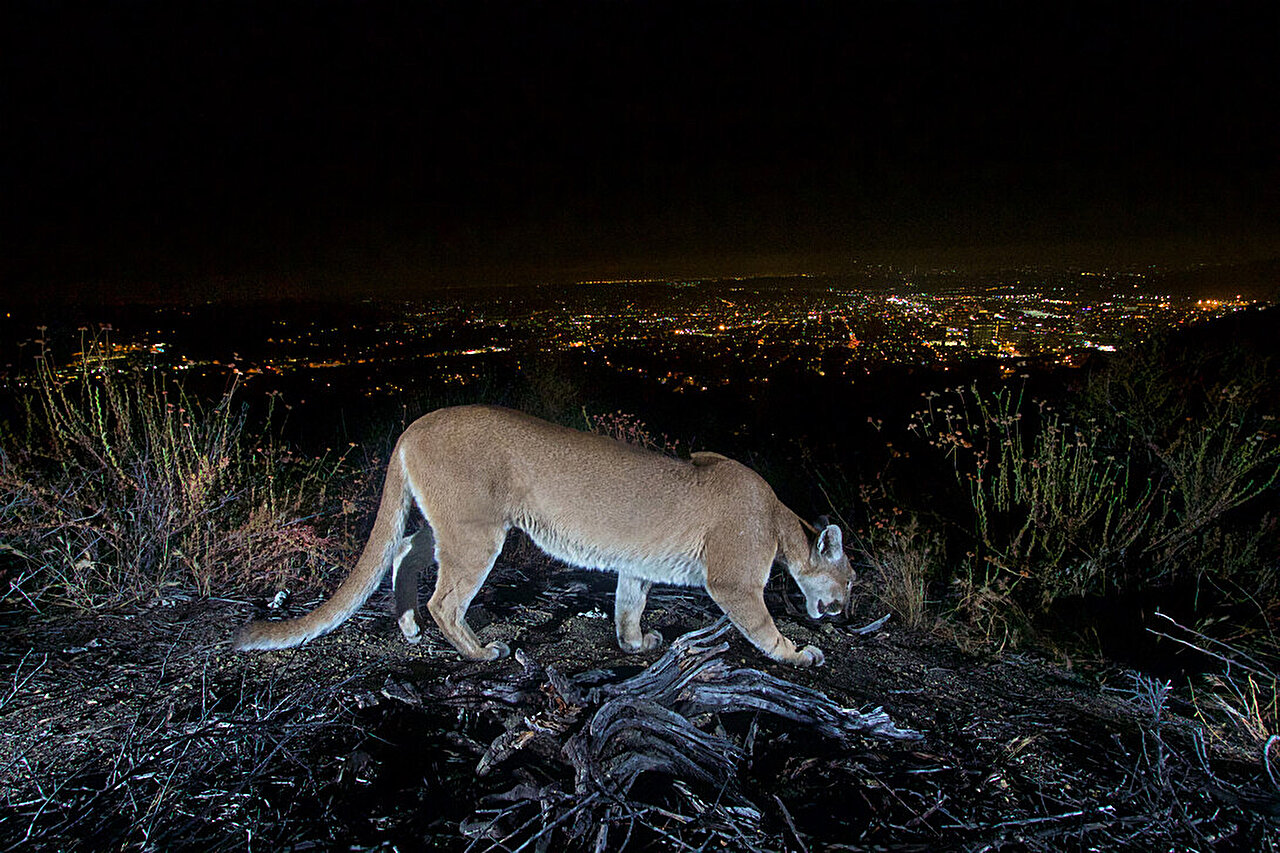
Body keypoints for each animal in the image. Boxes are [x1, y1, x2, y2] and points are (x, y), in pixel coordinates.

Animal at [233, 405, 852, 666]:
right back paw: (480, 650)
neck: (778, 517)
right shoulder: (735, 581)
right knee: (444, 598)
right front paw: (799, 654)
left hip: (455, 523)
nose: (846, 608)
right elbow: (761, 626)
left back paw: (407, 626)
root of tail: (414, 425)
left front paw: (636, 644)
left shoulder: (637, 566)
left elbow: (628, 606)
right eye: (850, 578)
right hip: (478, 532)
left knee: (405, 550)